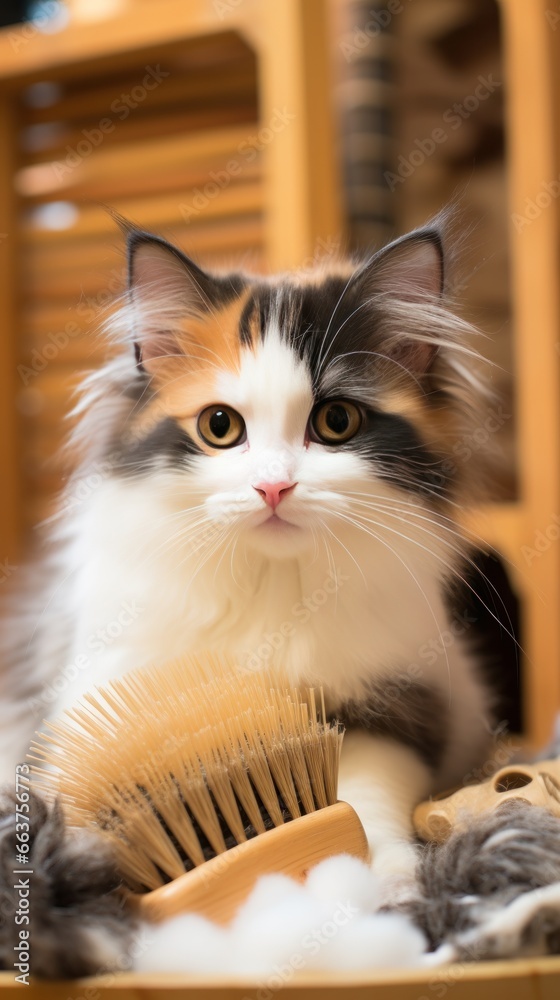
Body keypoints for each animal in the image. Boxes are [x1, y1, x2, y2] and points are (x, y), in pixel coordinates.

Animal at [1, 215, 498, 888]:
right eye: (220, 426)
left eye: (337, 421)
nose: (273, 487)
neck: (273, 581)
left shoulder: (400, 703)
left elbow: (366, 789)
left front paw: (379, 875)